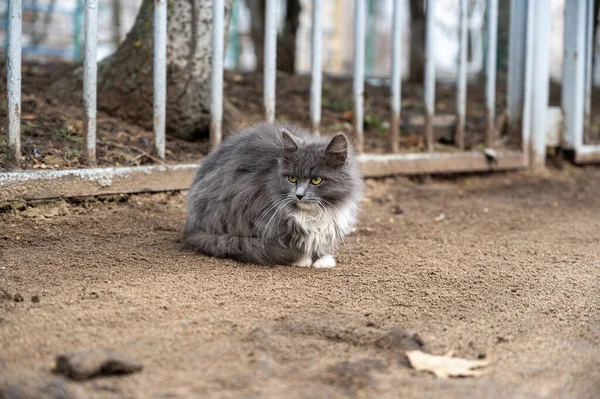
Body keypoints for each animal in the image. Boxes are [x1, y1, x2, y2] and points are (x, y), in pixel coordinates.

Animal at [183, 123, 360, 268]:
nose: (299, 195)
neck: (313, 214)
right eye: (292, 178)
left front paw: (321, 259)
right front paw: (301, 258)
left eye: (316, 180)